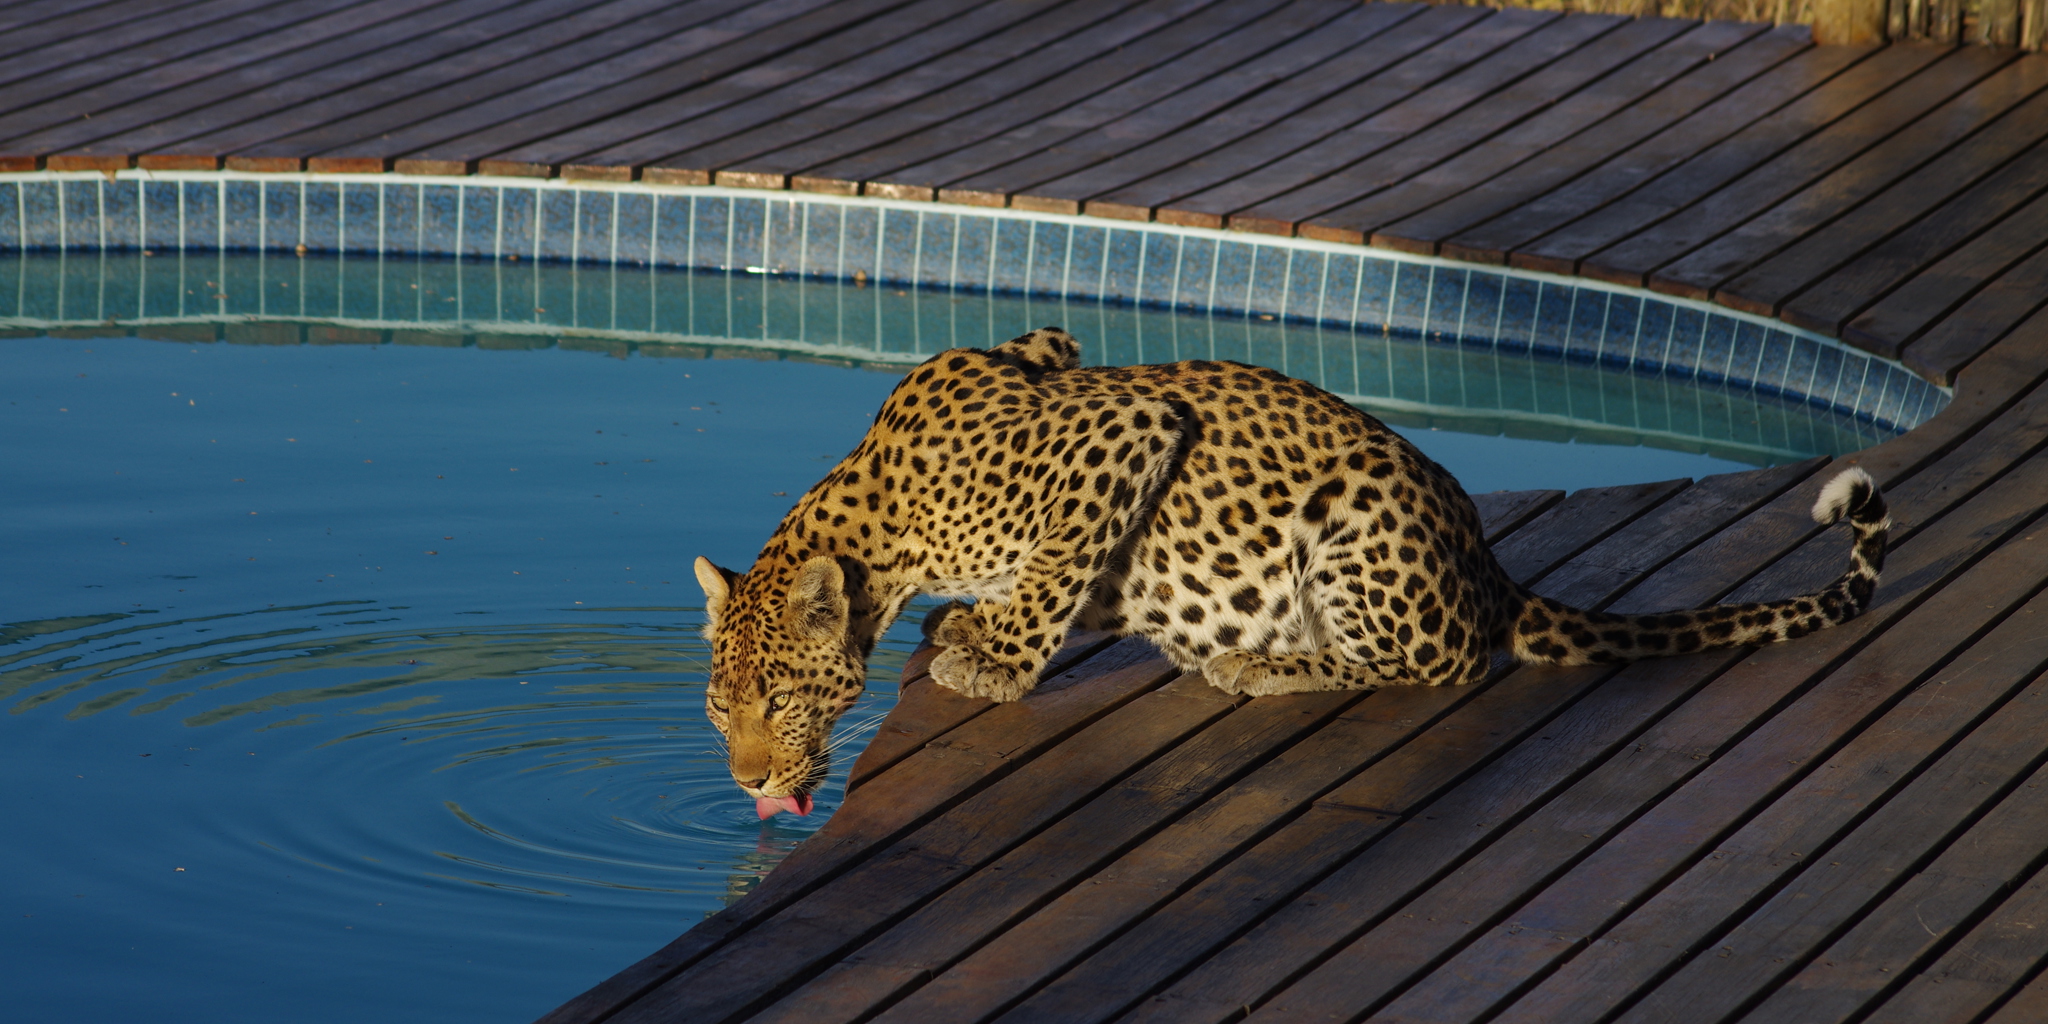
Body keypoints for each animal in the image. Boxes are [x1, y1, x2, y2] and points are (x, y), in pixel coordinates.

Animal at [692, 327, 1889, 815]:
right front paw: (972, 634)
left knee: (1439, 666)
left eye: (777, 700)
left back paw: (1267, 664)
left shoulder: (1121, 427)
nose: (747, 782)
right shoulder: (1053, 348)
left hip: (1360, 518)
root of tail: (1489, 573)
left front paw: (993, 661)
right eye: (718, 710)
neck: (883, 528)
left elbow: (1058, 562)